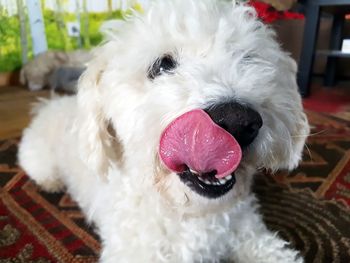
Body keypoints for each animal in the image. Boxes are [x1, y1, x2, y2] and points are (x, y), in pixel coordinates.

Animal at [18, 1, 308, 262]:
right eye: (162, 65)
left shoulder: (251, 235)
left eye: (248, 58)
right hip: (39, 160)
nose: (238, 119)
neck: (192, 214)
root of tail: (49, 104)